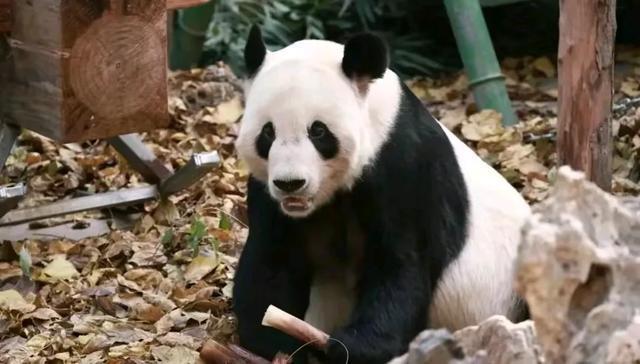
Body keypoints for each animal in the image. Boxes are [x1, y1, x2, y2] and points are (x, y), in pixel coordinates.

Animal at [231, 26, 528, 364]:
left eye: (318, 131)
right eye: (268, 132)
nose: (290, 183)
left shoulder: (402, 164)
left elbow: (400, 263)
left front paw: (350, 346)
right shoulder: (266, 192)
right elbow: (271, 262)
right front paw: (279, 342)